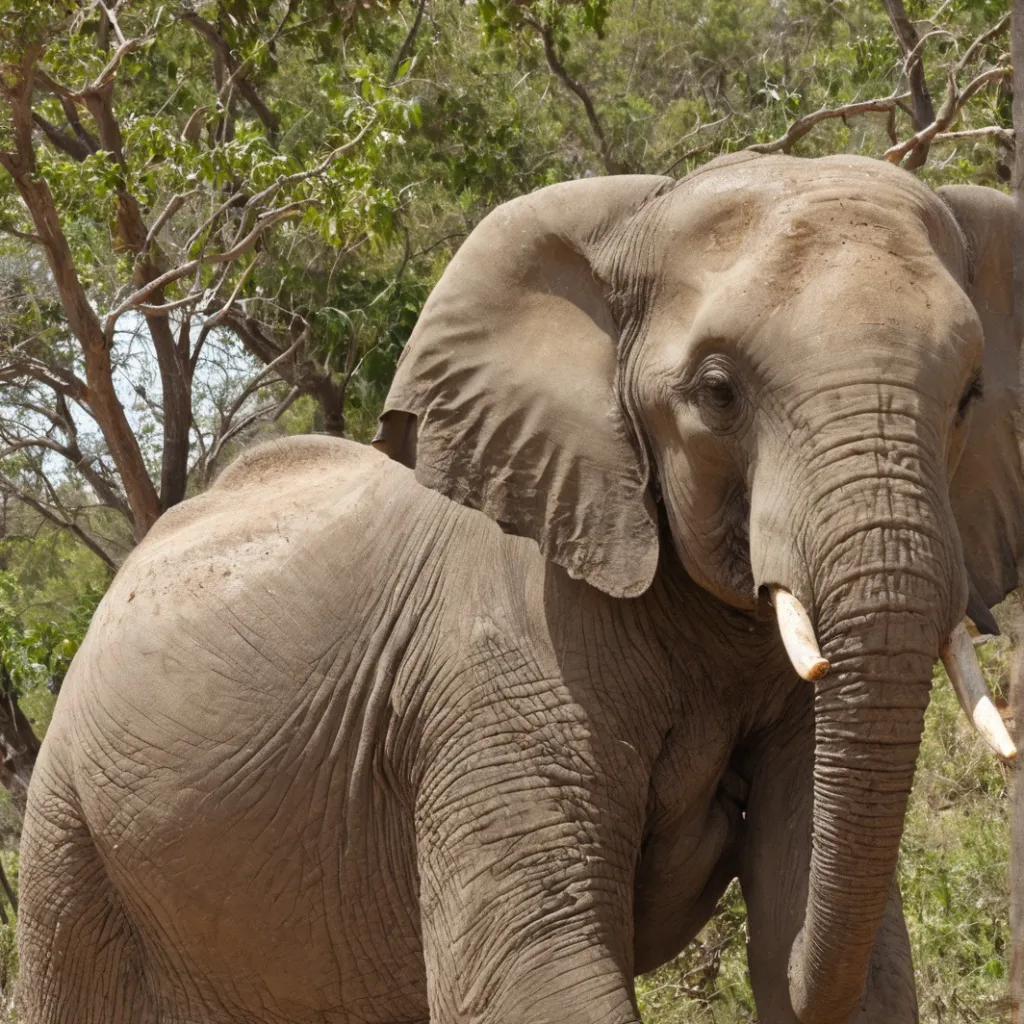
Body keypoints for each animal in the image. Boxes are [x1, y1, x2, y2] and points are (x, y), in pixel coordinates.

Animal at [16, 152, 1022, 1024]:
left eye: (970, 394)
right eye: (717, 392)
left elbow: (840, 930)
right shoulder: (489, 666)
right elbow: (531, 977)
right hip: (67, 828)